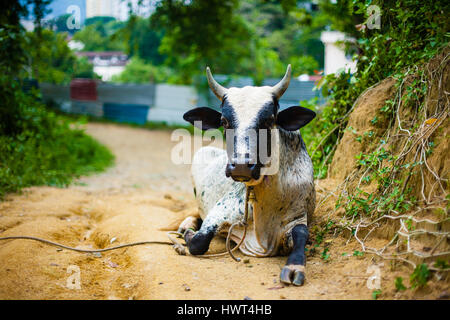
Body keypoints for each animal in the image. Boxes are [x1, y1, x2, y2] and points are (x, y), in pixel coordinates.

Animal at [179, 65, 316, 288]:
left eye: (269, 120)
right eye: (224, 121)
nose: (241, 167)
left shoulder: (298, 216)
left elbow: (302, 234)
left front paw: (295, 267)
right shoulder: (219, 212)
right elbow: (199, 242)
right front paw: (189, 235)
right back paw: (186, 225)